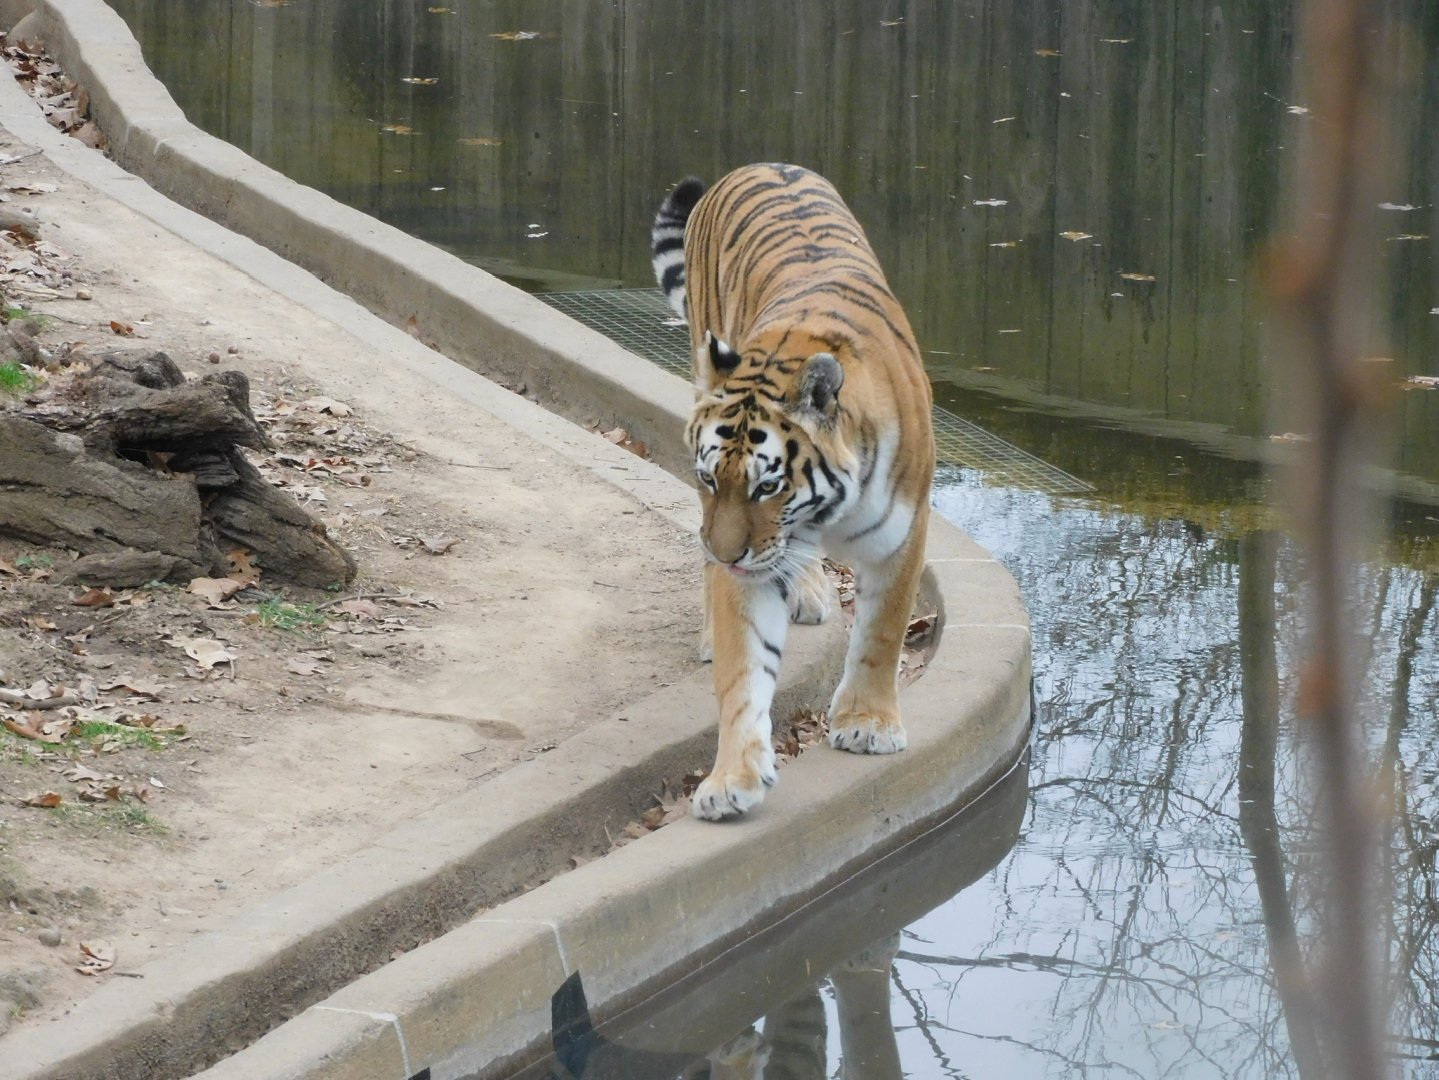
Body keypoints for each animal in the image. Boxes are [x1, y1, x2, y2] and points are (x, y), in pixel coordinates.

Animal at [650, 162, 935, 821]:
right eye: (710, 479)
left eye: (769, 485)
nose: (726, 554)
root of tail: (758, 164)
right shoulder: (746, 560)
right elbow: (744, 670)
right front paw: (732, 777)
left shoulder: (904, 535)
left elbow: (883, 632)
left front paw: (867, 724)